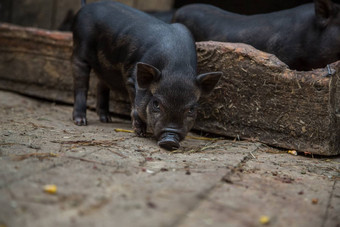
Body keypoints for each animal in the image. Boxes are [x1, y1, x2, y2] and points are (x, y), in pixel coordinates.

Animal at [70, 1, 222, 151]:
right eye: (156, 104)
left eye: (191, 109)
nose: (170, 139)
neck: (176, 69)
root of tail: (85, 6)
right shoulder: (131, 78)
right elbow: (135, 106)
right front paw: (140, 133)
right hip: (79, 50)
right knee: (81, 84)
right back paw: (81, 122)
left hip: (105, 68)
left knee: (101, 84)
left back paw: (106, 119)